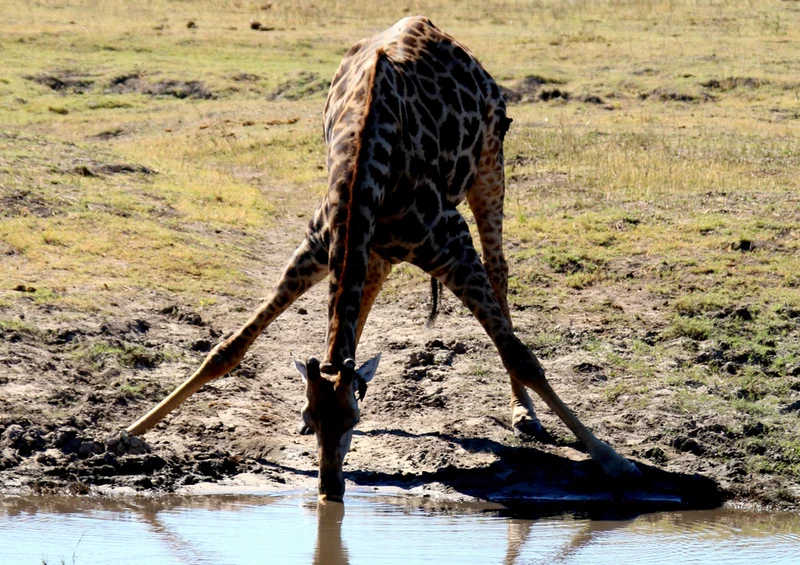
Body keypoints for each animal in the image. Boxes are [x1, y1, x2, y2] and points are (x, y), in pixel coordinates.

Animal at [125, 16, 639, 501]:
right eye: (311, 416)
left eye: (352, 420)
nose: (330, 488)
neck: (364, 162)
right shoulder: (317, 247)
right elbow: (228, 348)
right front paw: (126, 435)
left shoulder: (452, 245)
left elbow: (520, 354)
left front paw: (613, 460)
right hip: (378, 246)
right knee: (369, 289)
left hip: (490, 165)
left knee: (499, 272)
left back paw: (524, 414)